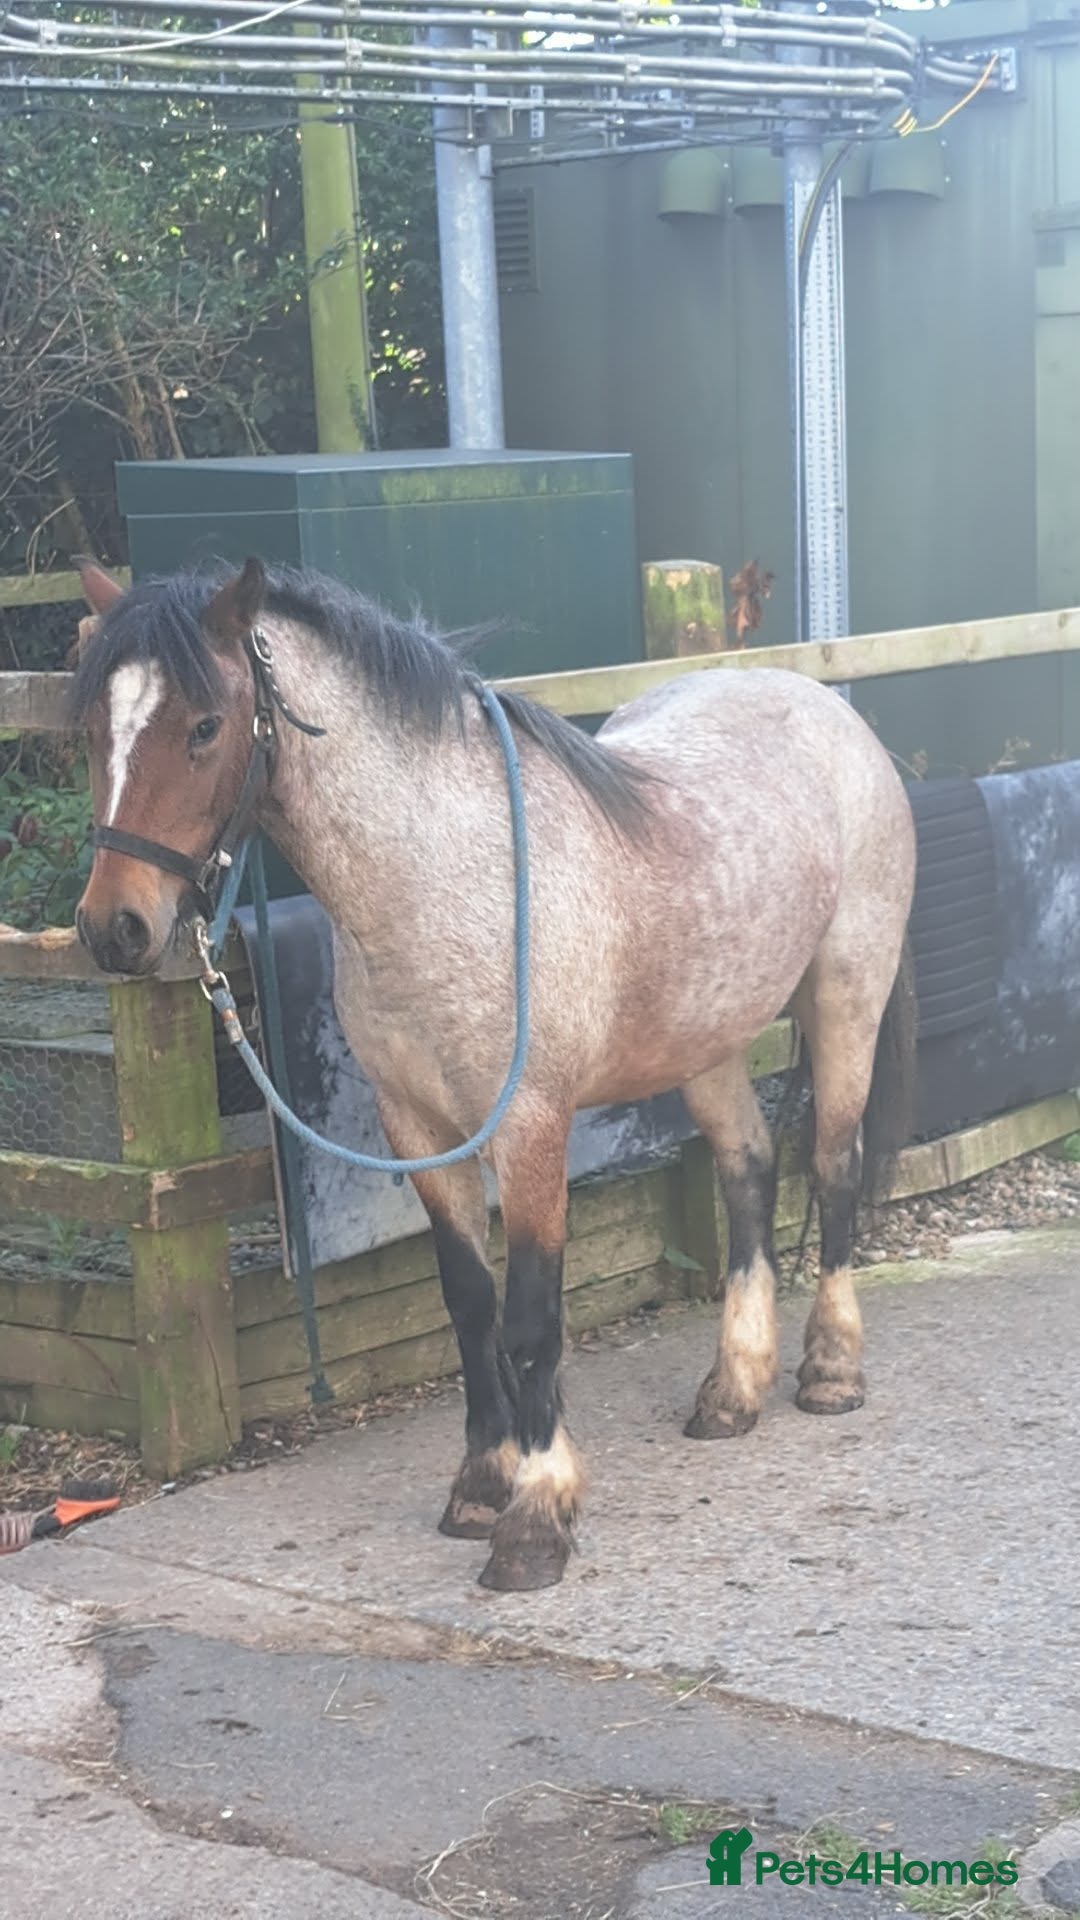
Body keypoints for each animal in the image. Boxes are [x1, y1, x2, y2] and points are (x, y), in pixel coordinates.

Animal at [72, 556, 917, 1593]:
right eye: (93, 728)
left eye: (203, 726)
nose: (114, 928)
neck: (441, 877)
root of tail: (826, 707)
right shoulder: (419, 1131)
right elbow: (470, 1306)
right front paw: (481, 1484)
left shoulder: (530, 1130)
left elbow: (531, 1322)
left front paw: (537, 1517)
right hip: (706, 1038)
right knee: (750, 1171)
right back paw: (733, 1388)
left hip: (847, 999)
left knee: (832, 1170)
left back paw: (830, 1369)